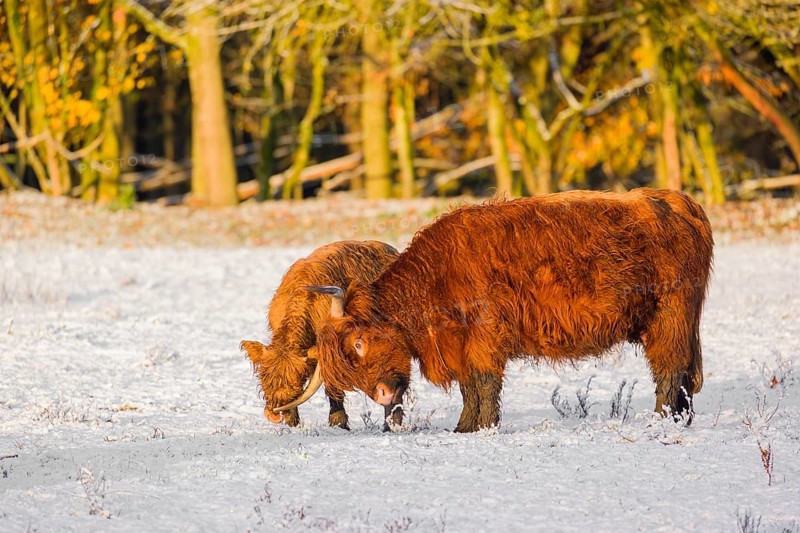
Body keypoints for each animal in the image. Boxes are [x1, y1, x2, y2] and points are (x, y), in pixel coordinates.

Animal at [283, 189, 714, 432]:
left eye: (359, 341)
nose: (384, 394)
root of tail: (678, 201)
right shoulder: (460, 343)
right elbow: (468, 386)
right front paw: (464, 426)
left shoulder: (484, 334)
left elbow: (484, 381)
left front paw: (482, 427)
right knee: (682, 374)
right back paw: (683, 418)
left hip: (671, 315)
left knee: (669, 369)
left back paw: (662, 419)